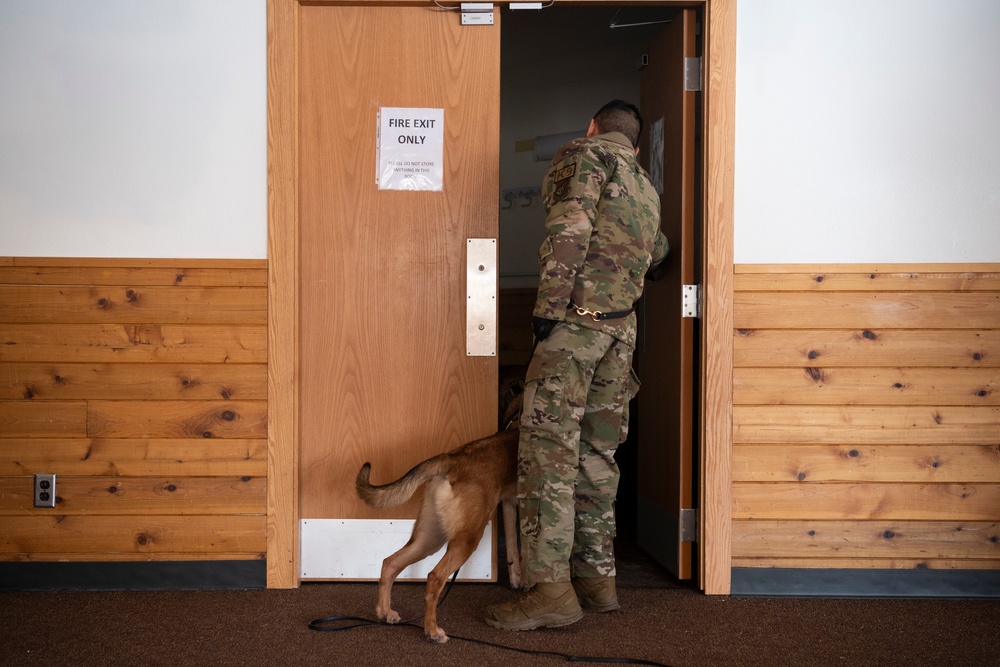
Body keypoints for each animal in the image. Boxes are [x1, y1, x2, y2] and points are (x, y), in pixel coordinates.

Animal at [354, 428, 524, 640]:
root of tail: (453, 458)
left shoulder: (509, 504)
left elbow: (513, 550)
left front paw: (517, 580)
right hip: (467, 538)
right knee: (434, 577)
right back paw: (432, 630)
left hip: (429, 538)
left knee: (390, 563)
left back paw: (385, 612)